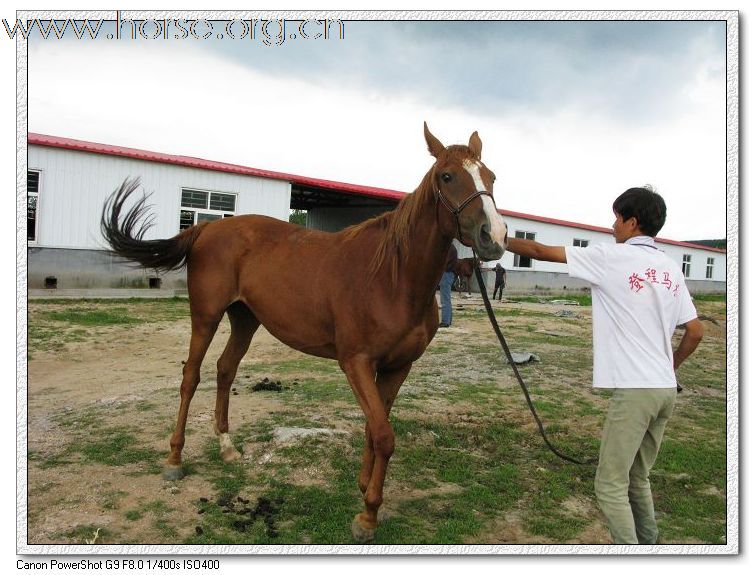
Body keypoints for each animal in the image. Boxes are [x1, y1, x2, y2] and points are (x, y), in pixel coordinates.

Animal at [102, 124, 508, 544]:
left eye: (491, 177)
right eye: (447, 176)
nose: (493, 236)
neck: (392, 276)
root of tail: (209, 225)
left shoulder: (398, 367)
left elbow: (375, 428)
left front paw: (365, 489)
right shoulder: (356, 363)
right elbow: (384, 434)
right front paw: (367, 516)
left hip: (245, 319)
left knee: (225, 370)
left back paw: (227, 447)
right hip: (206, 317)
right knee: (190, 377)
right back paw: (174, 458)